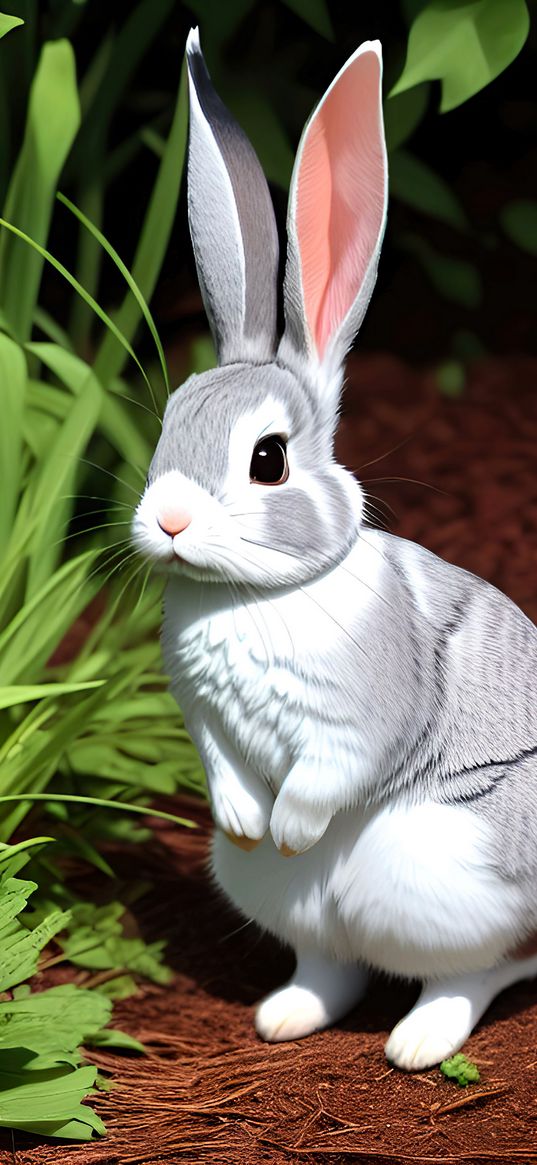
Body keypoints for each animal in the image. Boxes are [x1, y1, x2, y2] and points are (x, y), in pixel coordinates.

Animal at [132, 27, 535, 1067]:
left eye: (268, 459)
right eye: (167, 429)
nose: (167, 523)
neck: (250, 593)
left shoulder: (358, 723)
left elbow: (326, 774)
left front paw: (291, 825)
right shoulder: (203, 719)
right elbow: (225, 766)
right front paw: (252, 819)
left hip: (450, 870)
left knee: (483, 969)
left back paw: (415, 1043)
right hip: (276, 897)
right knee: (331, 960)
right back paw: (283, 1015)